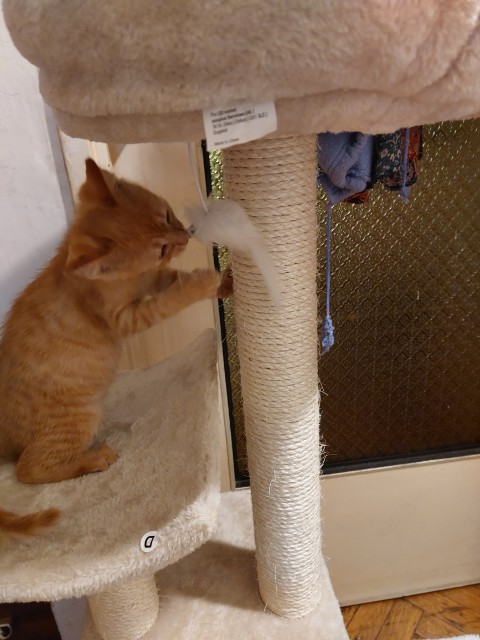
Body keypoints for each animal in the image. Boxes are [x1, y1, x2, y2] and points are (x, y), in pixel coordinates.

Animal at [0, 158, 233, 540]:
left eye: (167, 215)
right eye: (161, 248)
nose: (185, 236)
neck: (124, 281)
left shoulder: (149, 279)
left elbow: (169, 280)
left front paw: (224, 284)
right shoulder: (126, 318)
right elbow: (170, 298)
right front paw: (204, 282)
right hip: (79, 418)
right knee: (28, 469)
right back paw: (93, 458)